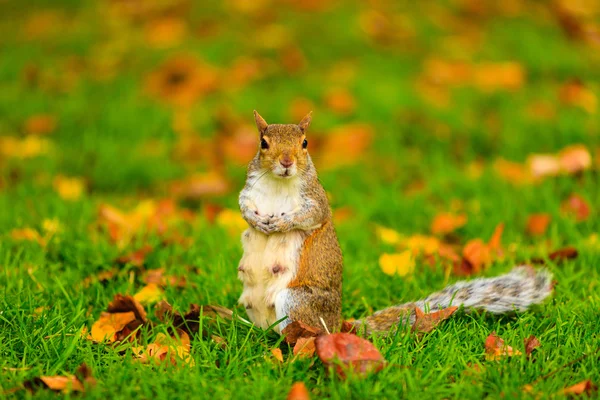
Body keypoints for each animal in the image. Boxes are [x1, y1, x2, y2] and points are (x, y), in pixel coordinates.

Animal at [238, 111, 552, 334]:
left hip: (297, 301)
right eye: (263, 144)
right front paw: (256, 220)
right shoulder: (250, 190)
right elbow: (243, 206)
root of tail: (338, 324)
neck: (279, 183)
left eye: (305, 143)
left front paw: (280, 224)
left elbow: (310, 217)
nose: (286, 162)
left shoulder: (316, 200)